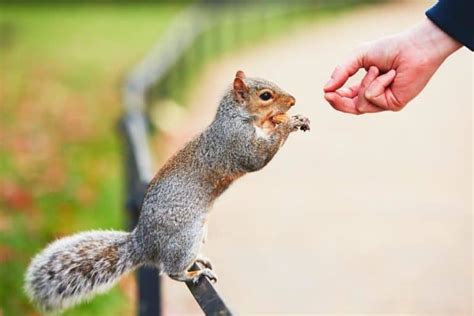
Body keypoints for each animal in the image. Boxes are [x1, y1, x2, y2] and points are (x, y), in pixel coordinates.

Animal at [25, 70, 312, 312]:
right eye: (265, 95)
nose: (293, 101)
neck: (236, 117)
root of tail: (143, 244)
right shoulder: (235, 142)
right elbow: (257, 158)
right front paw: (289, 123)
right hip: (185, 237)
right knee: (171, 271)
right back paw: (194, 273)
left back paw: (201, 261)